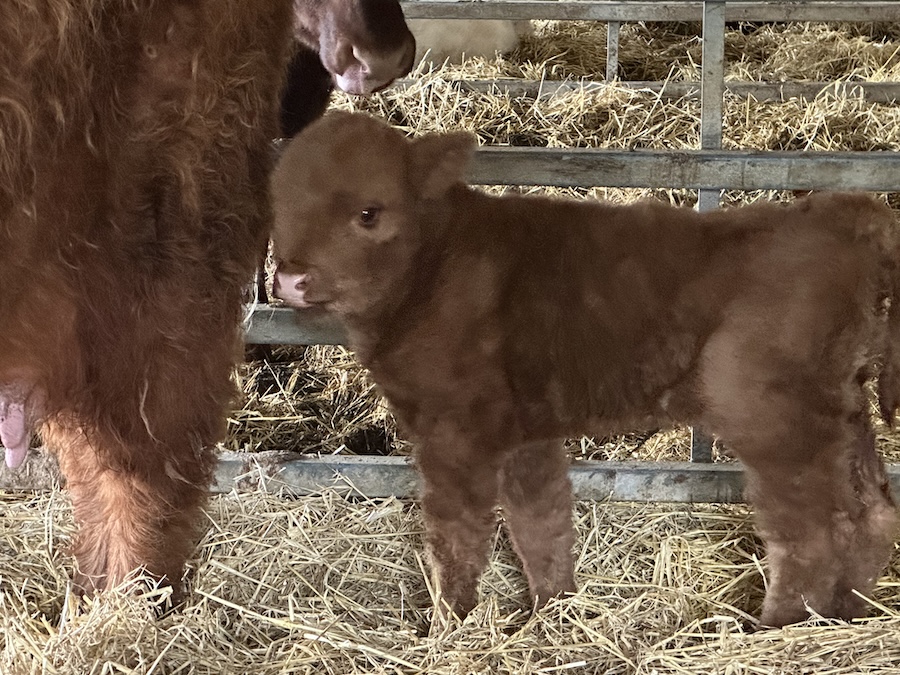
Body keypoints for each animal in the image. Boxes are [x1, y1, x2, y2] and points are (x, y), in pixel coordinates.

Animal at [272, 112, 900, 628]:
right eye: (280, 207)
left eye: (369, 212)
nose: (291, 280)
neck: (432, 269)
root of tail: (851, 214)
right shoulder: (525, 430)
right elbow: (540, 521)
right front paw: (551, 611)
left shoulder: (455, 431)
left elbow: (457, 536)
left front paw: (449, 625)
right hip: (843, 405)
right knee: (872, 510)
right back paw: (848, 613)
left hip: (772, 412)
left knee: (813, 529)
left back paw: (776, 628)